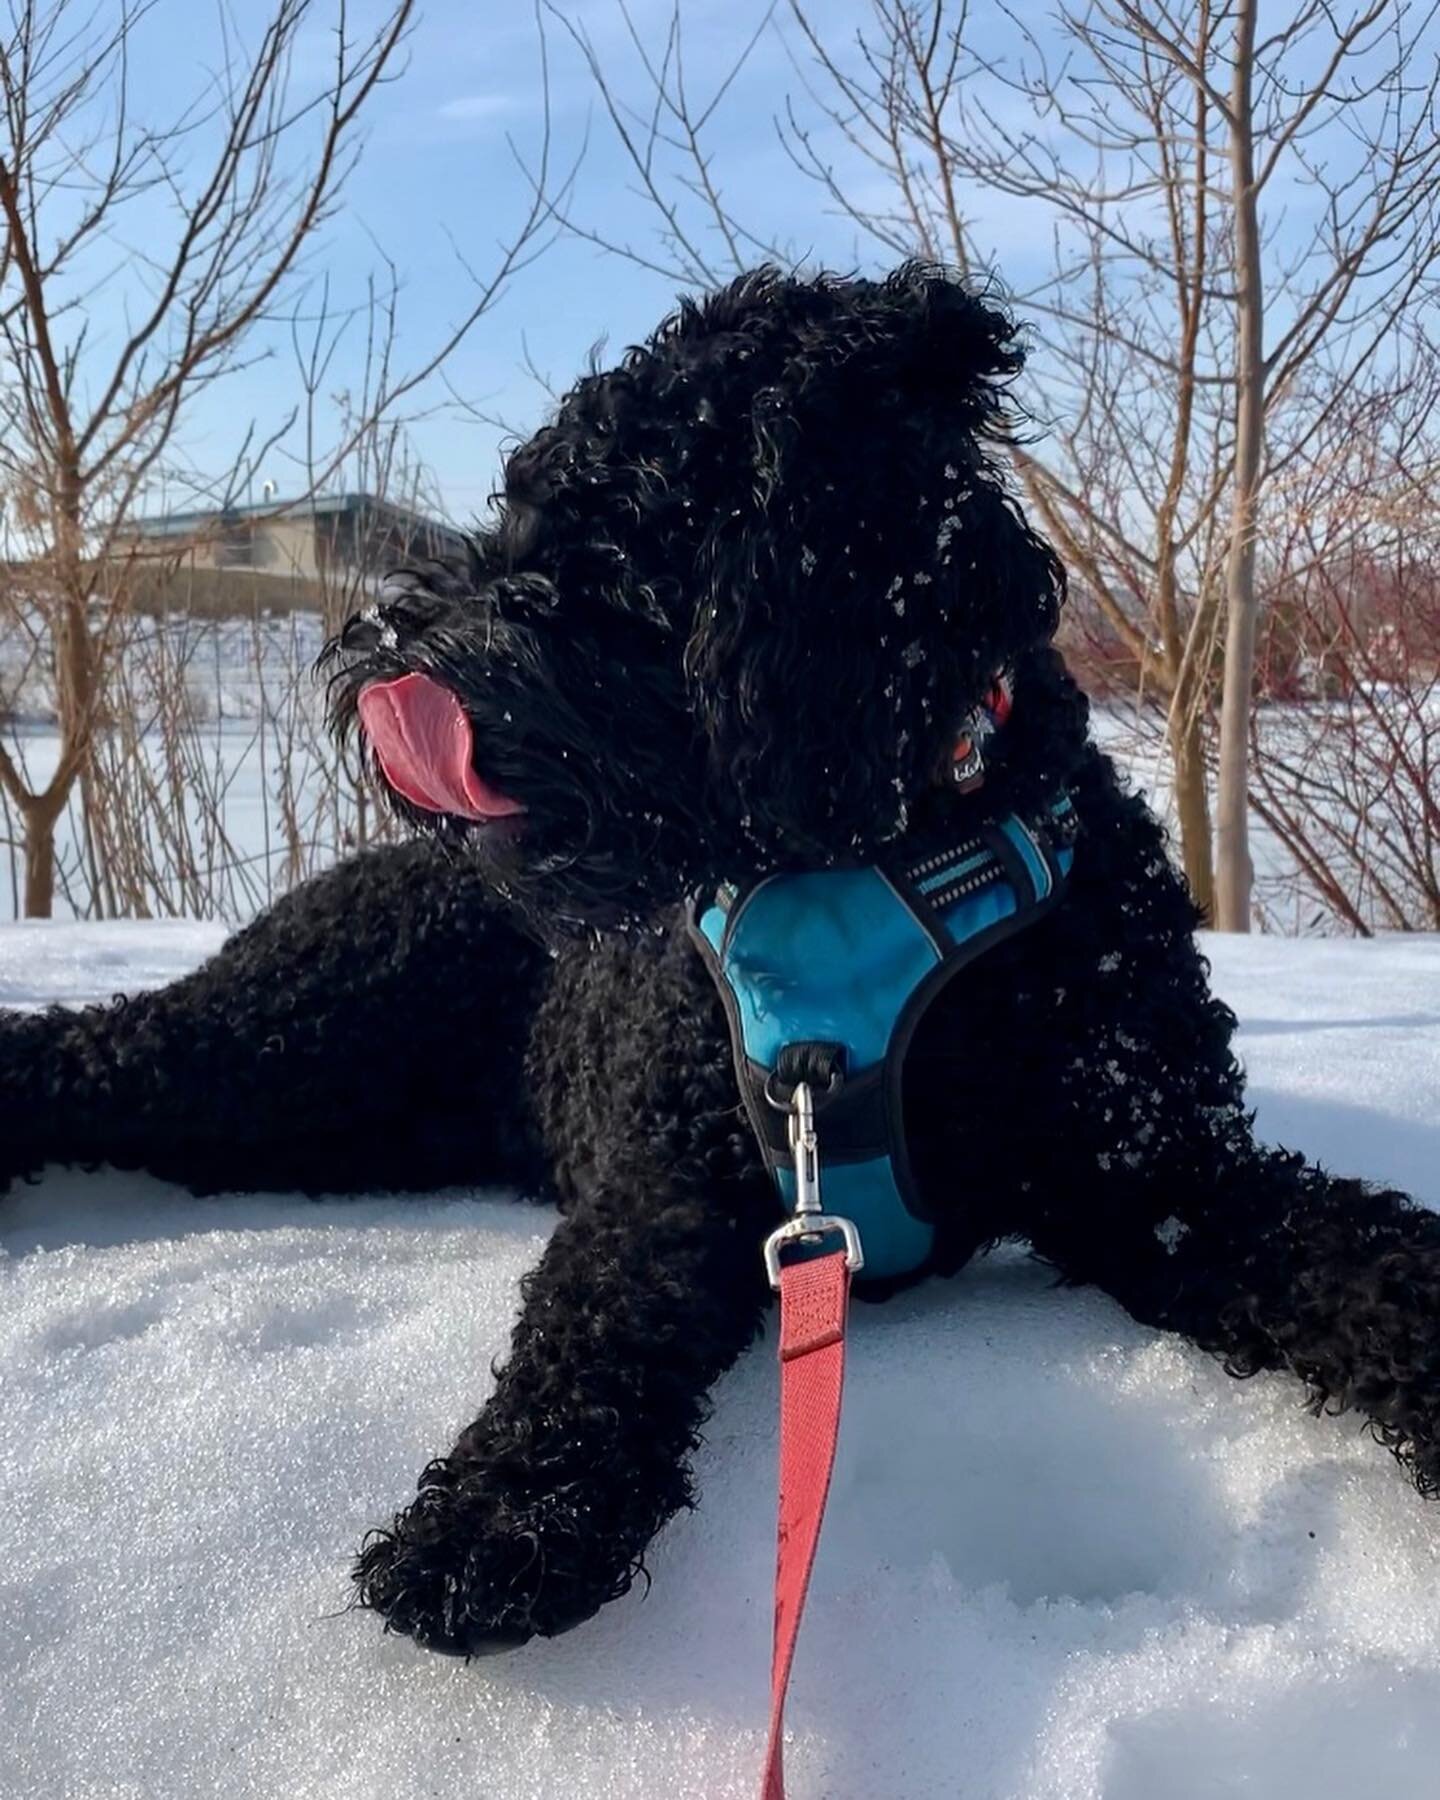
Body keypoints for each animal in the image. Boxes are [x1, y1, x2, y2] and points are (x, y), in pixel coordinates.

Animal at [2, 261, 1440, 1648]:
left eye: (599, 549)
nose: (373, 650)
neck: (876, 851)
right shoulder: (668, 1184)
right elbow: (584, 1334)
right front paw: (502, 1515)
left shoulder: (1159, 1172)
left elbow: (1360, 1252)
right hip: (284, 1035)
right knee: (82, 1049)